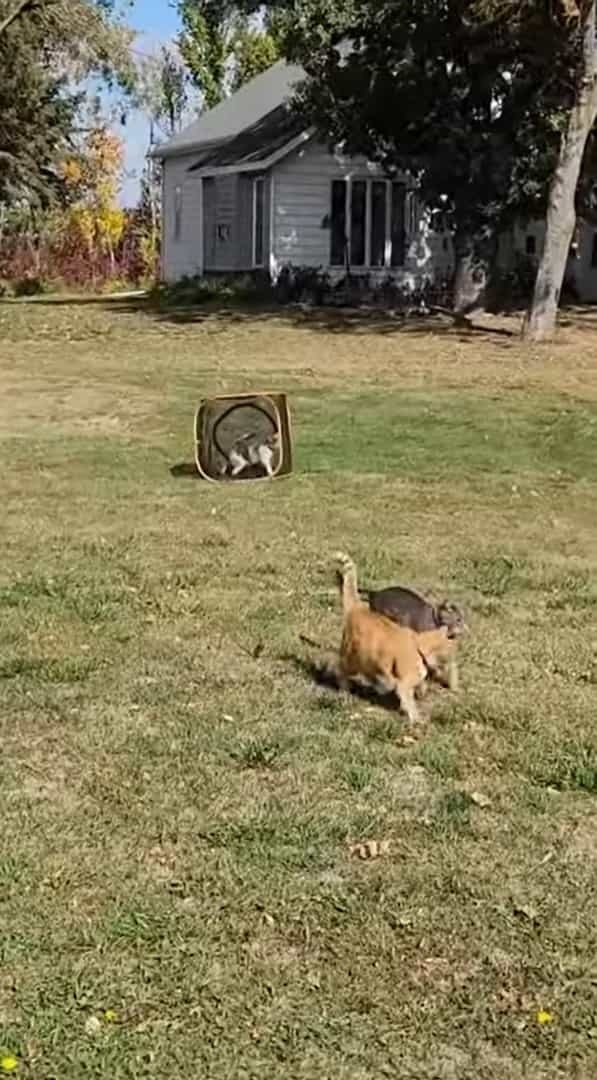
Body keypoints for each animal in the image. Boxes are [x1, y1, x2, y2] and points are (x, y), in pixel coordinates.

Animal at [330, 552, 455, 721]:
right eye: (449, 651)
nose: (454, 662)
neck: (420, 646)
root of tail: (359, 607)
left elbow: (419, 688)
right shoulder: (404, 684)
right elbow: (410, 703)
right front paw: (417, 719)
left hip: (367, 659)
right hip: (352, 658)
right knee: (341, 670)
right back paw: (345, 690)